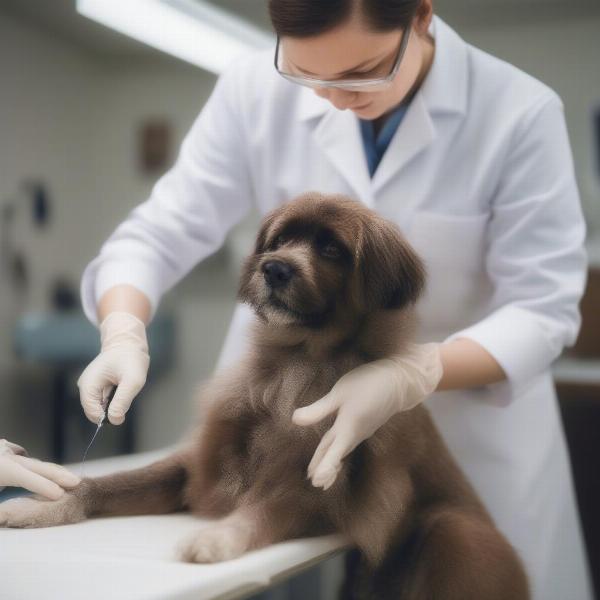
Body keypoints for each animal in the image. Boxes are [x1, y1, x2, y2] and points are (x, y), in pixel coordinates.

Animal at [3, 192, 528, 600]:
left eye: (331, 248)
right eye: (279, 241)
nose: (273, 268)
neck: (299, 364)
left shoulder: (317, 493)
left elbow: (261, 513)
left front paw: (217, 540)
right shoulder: (195, 469)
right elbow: (107, 484)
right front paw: (43, 504)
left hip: (456, 533)